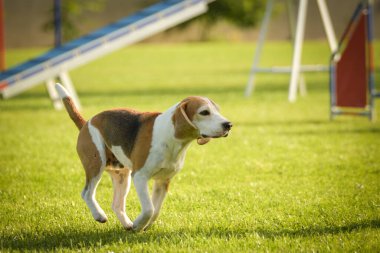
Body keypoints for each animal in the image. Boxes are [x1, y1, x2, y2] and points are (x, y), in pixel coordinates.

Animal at [54, 83, 230, 231]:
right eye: (204, 112)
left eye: (217, 110)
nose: (229, 125)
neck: (171, 138)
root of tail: (87, 122)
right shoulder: (140, 176)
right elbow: (149, 209)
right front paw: (139, 224)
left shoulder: (163, 181)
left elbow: (156, 211)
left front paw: (142, 226)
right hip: (96, 164)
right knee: (86, 193)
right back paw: (99, 215)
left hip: (122, 177)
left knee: (117, 205)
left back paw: (127, 225)